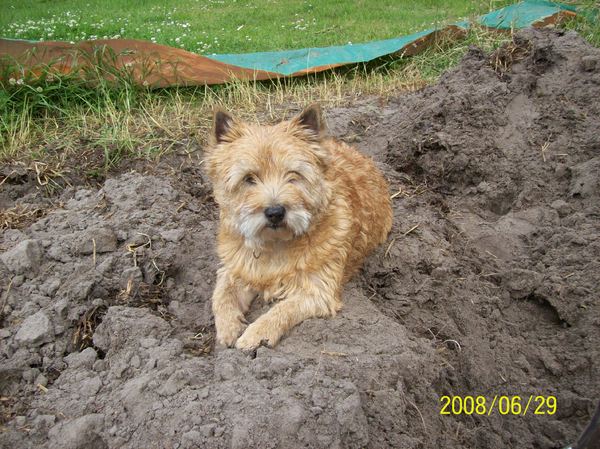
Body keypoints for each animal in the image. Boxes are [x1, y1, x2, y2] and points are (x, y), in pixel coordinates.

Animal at [206, 104, 394, 350]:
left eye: (293, 175)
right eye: (248, 178)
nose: (275, 212)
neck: (276, 244)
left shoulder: (318, 291)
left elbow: (283, 309)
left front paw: (256, 333)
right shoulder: (236, 266)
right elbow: (221, 293)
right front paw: (227, 329)